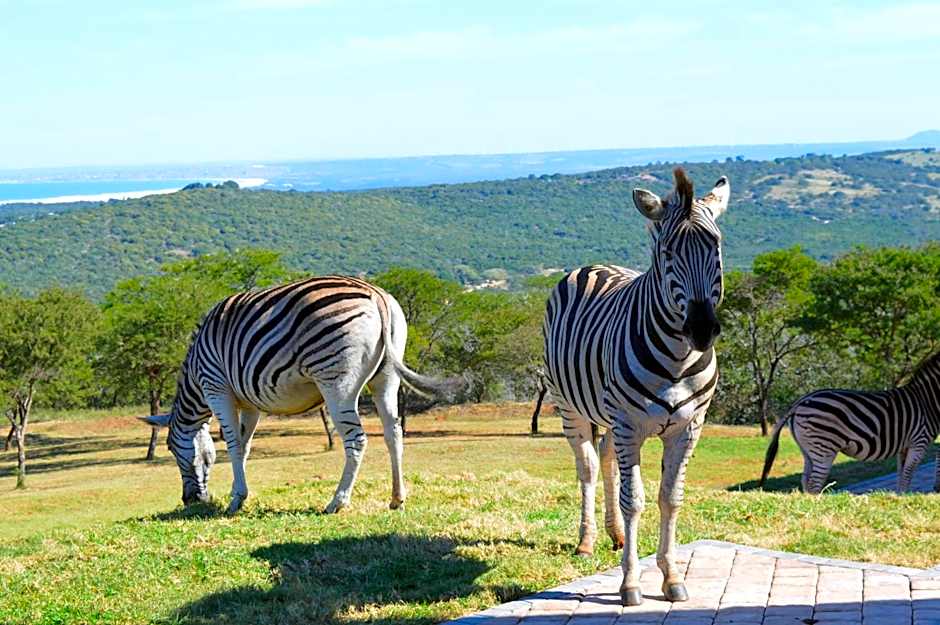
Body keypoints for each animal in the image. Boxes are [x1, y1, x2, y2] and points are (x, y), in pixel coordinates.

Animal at [142, 275, 457, 515]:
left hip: (336, 381)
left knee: (357, 439)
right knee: (394, 432)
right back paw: (396, 499)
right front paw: (239, 494)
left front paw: (235, 500)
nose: (189, 501)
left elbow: (231, 444)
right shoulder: (250, 404)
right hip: (386, 378)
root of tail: (375, 293)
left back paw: (337, 502)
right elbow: (244, 446)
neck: (195, 379)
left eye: (170, 449)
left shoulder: (216, 387)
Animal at [543, 168, 730, 607]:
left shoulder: (688, 428)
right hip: (570, 407)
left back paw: (615, 536)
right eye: (667, 254)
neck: (678, 359)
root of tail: (593, 265)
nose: (702, 330)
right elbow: (635, 501)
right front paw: (629, 584)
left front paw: (672, 576)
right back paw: (587, 541)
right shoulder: (630, 424)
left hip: (610, 416)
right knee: (589, 467)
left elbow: (670, 498)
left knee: (608, 459)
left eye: (715, 247)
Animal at [760, 352, 940, 494]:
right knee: (814, 485)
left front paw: (898, 497)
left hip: (807, 449)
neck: (926, 400)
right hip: (824, 448)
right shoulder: (919, 442)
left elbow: (902, 475)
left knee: (806, 482)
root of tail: (801, 401)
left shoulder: (905, 445)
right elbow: (908, 474)